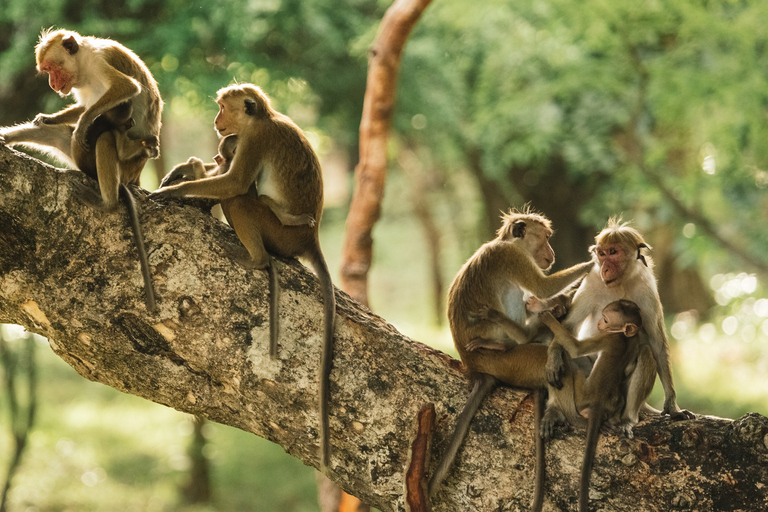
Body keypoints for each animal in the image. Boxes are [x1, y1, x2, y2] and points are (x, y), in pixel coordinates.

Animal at [0, 29, 162, 312]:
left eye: (53, 69)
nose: (53, 85)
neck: (83, 64)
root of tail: (135, 176)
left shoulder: (99, 61)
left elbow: (126, 88)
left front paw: (84, 122)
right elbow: (76, 110)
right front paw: (49, 117)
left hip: (122, 166)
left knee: (105, 139)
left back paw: (106, 202)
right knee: (54, 135)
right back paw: (8, 138)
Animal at [150, 83, 336, 468]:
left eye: (223, 107)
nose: (216, 120)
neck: (263, 119)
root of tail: (310, 238)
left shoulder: (255, 140)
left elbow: (235, 181)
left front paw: (173, 191)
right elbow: (224, 174)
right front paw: (188, 169)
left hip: (280, 232)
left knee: (239, 198)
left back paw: (256, 258)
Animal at [426, 207, 592, 504]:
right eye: (546, 238)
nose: (551, 254)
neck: (509, 243)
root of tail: (476, 367)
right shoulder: (511, 257)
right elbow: (543, 287)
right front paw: (595, 262)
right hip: (512, 362)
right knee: (540, 351)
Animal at [536, 300, 648, 512]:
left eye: (606, 319)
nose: (599, 323)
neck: (621, 335)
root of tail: (597, 403)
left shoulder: (606, 337)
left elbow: (576, 348)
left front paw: (547, 317)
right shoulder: (634, 341)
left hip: (580, 393)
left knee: (570, 362)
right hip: (611, 402)